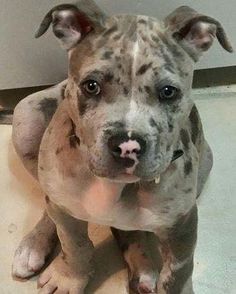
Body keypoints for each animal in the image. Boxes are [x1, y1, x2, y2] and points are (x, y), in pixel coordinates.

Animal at [11, 1, 232, 292]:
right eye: (91, 86)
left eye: (168, 91)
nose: (127, 146)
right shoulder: (66, 211)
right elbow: (75, 244)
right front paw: (69, 277)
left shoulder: (182, 227)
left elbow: (177, 275)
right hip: (26, 118)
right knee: (50, 206)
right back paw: (33, 245)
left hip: (206, 162)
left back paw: (143, 270)